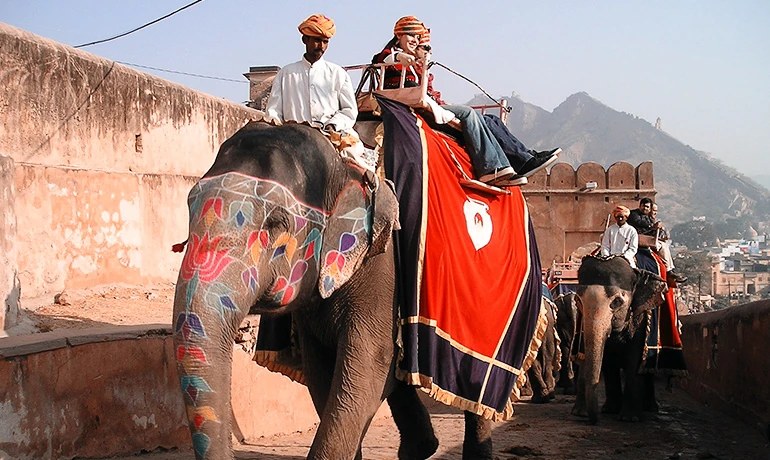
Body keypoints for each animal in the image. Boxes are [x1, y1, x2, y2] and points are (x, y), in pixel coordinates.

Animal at [172, 121, 493, 459]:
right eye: (190, 207)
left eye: (276, 223)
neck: (343, 163)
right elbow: (322, 370)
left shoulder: (383, 266)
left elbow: (368, 363)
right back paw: (421, 448)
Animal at [570, 255, 667, 424]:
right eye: (578, 301)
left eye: (616, 302)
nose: (594, 420)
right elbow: (605, 359)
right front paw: (584, 412)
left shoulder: (640, 316)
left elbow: (635, 359)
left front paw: (630, 418)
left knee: (647, 367)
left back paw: (650, 408)